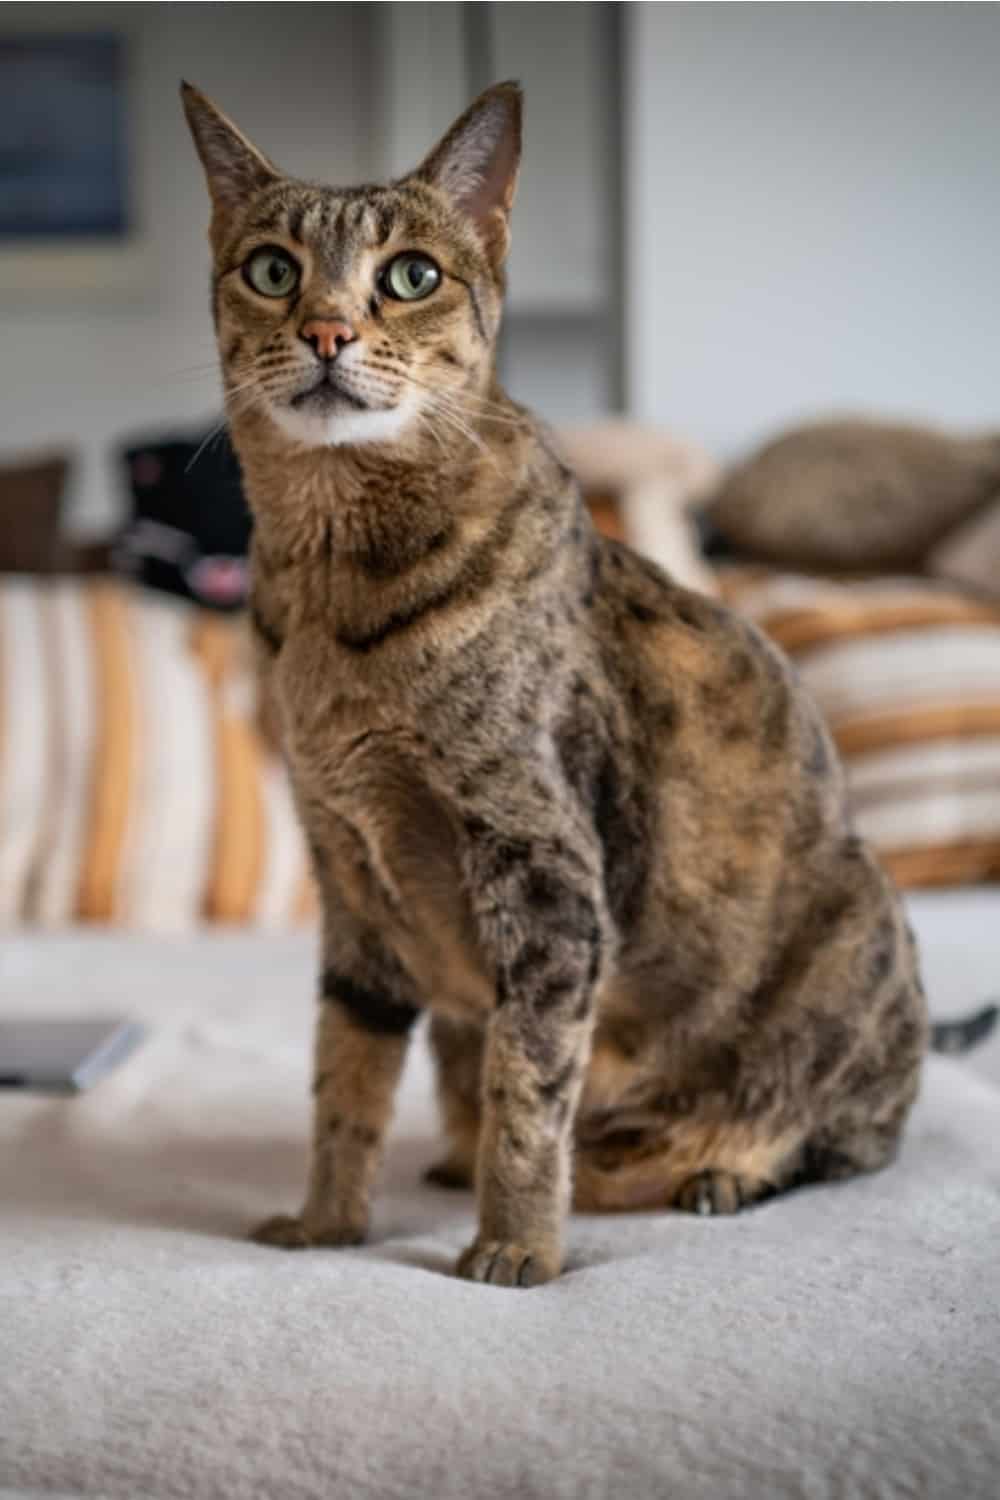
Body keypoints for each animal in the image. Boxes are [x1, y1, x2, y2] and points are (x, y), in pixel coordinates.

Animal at [183, 79, 935, 1278]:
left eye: (411, 274)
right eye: (269, 268)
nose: (326, 329)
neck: (333, 598)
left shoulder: (545, 873)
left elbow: (530, 1085)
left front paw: (516, 1247)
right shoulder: (347, 876)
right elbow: (344, 1078)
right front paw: (326, 1223)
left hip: (858, 940)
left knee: (841, 1135)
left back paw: (720, 1169)